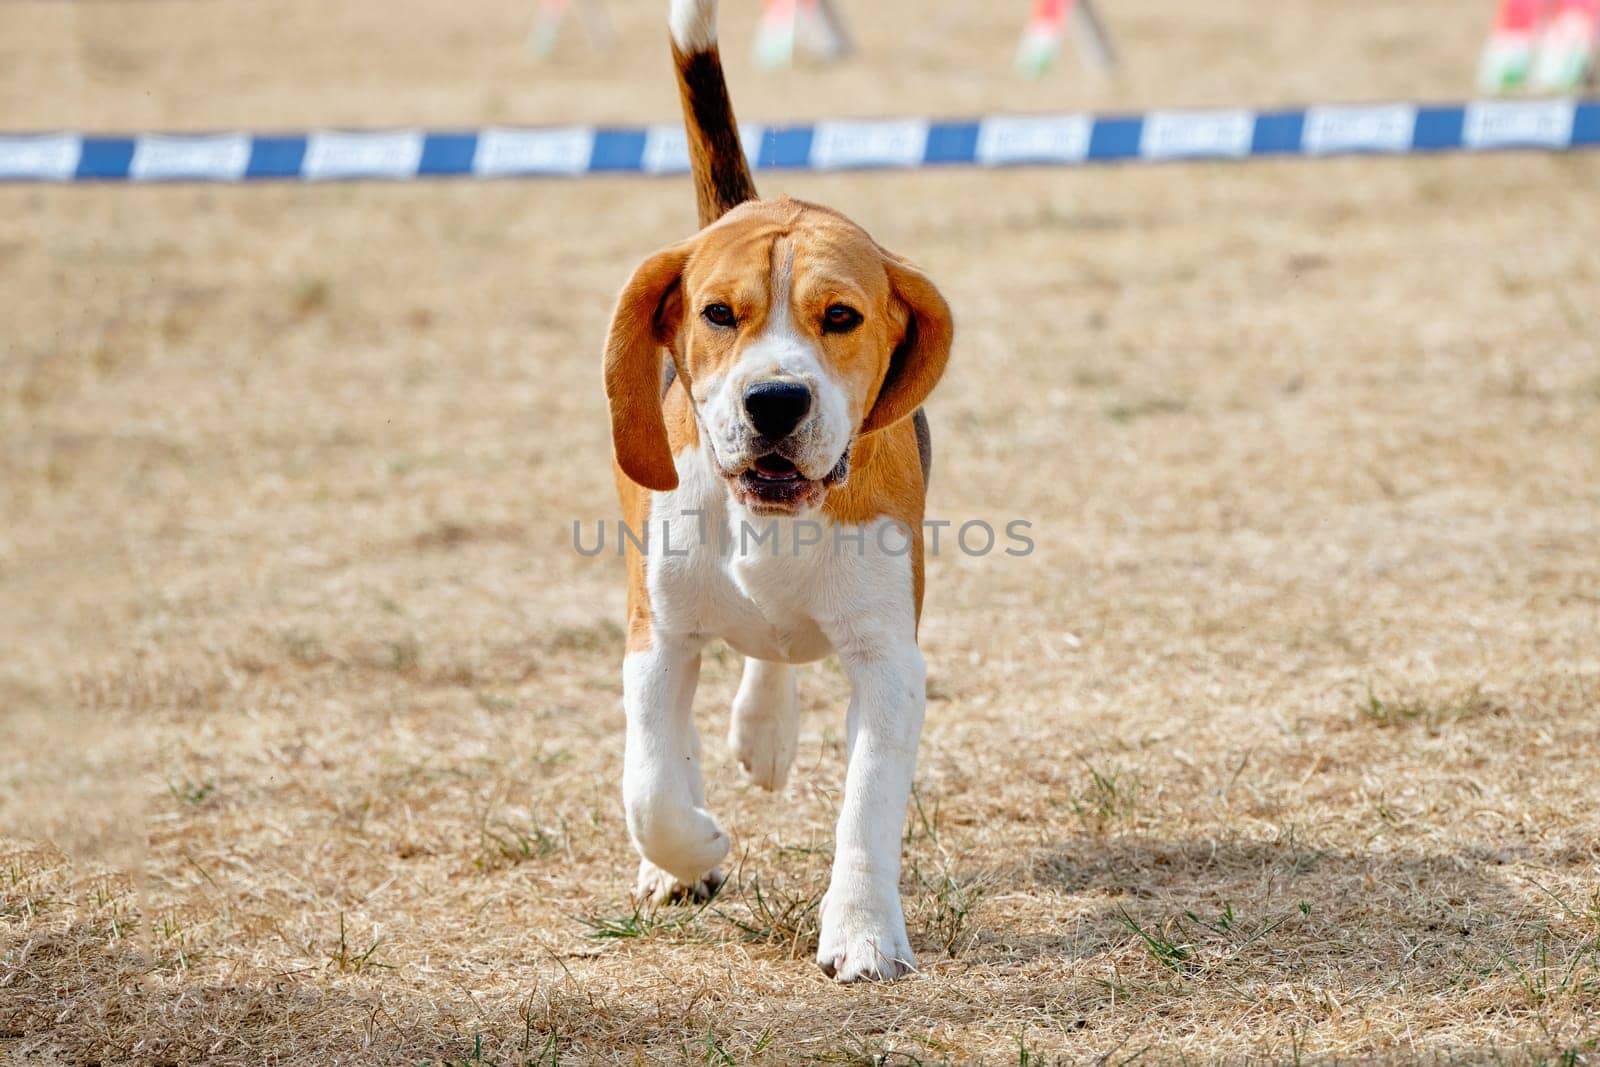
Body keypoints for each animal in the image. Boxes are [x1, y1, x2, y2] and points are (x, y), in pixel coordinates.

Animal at [601, 0, 947, 985]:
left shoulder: (888, 658)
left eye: (842, 316)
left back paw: (765, 728)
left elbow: (867, 807)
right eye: (720, 312)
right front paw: (696, 848)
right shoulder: (656, 634)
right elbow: (649, 784)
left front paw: (862, 932)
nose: (776, 401)